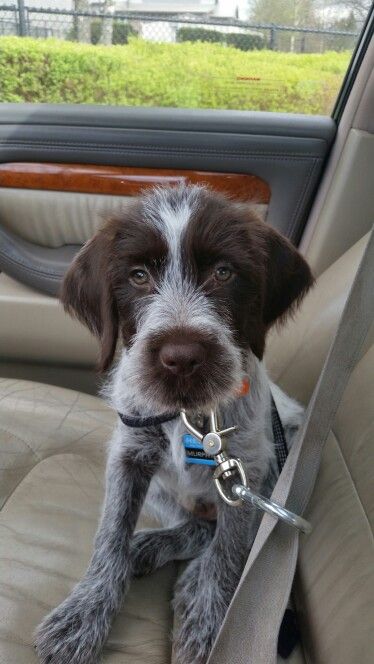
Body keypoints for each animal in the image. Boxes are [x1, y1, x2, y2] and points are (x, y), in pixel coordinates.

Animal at [35, 183, 312, 664]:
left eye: (223, 272)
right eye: (138, 276)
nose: (181, 357)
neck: (190, 415)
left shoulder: (248, 471)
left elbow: (230, 552)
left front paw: (211, 628)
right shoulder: (127, 459)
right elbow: (110, 536)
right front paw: (84, 614)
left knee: (227, 536)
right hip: (161, 490)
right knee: (197, 525)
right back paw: (149, 546)